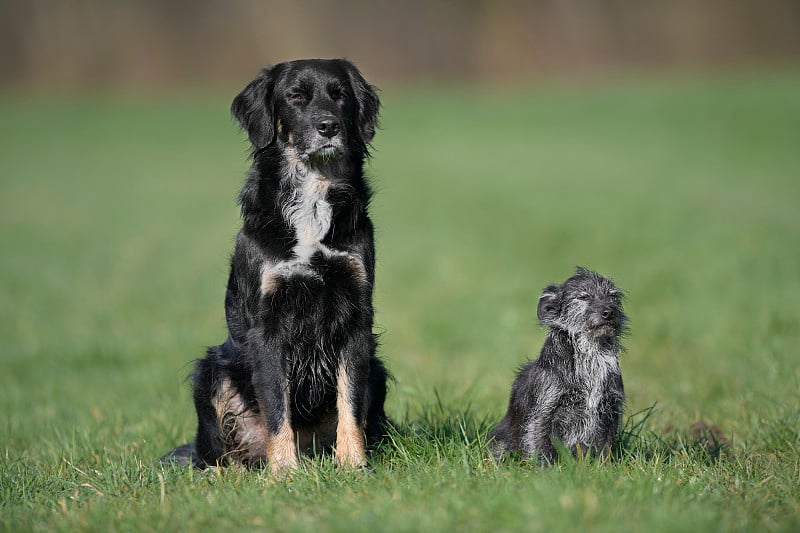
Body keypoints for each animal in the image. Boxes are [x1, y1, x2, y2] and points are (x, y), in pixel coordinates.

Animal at [162, 59, 388, 474]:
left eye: (340, 95)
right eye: (295, 96)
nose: (328, 126)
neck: (312, 201)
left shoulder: (355, 319)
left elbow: (350, 404)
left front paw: (353, 465)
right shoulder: (266, 326)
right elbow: (276, 407)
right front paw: (284, 473)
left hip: (377, 367)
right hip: (211, 371)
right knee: (218, 455)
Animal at [494, 268, 624, 464]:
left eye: (613, 296)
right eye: (583, 297)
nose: (609, 312)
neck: (591, 355)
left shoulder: (610, 411)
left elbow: (604, 448)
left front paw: (603, 467)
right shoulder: (544, 413)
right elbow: (541, 444)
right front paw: (546, 469)